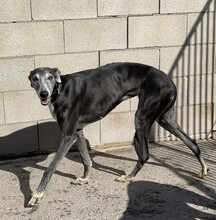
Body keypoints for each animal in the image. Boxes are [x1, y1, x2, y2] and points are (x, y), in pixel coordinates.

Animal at [27, 62, 208, 206]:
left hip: (142, 118)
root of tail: (171, 83)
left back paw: (129, 177)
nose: (44, 94)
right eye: (35, 78)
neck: (60, 90)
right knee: (192, 142)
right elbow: (86, 159)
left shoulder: (68, 135)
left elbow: (50, 168)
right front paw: (84, 178)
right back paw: (203, 168)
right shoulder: (77, 131)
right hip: (165, 119)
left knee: (145, 155)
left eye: (50, 77)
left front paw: (37, 194)